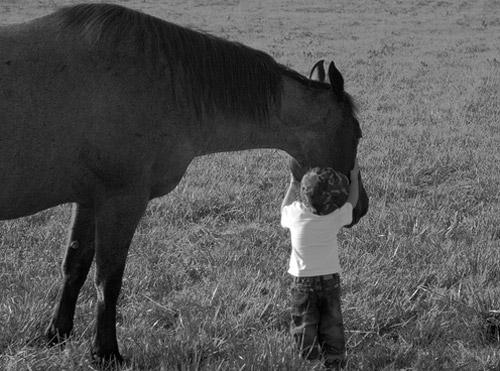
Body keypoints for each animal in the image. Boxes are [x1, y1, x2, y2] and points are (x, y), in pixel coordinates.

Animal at [0, 2, 368, 364]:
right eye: (358, 133)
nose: (360, 206)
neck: (161, 81)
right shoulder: (121, 201)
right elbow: (108, 278)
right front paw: (105, 352)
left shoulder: (90, 199)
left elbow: (75, 265)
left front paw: (57, 333)